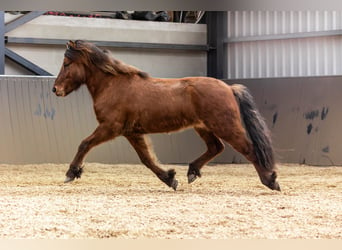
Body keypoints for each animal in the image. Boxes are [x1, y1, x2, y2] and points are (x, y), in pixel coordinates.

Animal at [51, 40, 280, 190]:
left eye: (67, 64)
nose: (55, 89)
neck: (114, 85)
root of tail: (229, 88)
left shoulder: (111, 127)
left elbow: (84, 144)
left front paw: (71, 173)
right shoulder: (132, 132)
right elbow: (146, 158)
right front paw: (170, 178)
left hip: (225, 126)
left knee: (249, 149)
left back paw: (271, 181)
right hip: (204, 127)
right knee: (216, 147)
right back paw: (192, 172)